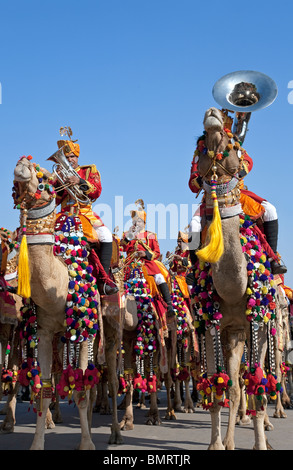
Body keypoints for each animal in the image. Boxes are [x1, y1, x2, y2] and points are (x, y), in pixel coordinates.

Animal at [12, 156, 121, 450]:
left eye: (45, 179)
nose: (22, 162)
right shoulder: (44, 331)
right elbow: (45, 389)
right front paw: (37, 444)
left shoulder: (84, 332)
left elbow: (82, 390)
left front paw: (87, 444)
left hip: (112, 327)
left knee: (111, 378)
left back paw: (115, 434)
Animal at [192, 107, 280, 452]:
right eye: (201, 144)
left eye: (233, 142)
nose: (212, 113)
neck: (233, 289)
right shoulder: (212, 324)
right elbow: (219, 387)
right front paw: (216, 445)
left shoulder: (258, 322)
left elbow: (258, 384)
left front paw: (260, 444)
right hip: (233, 334)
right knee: (234, 384)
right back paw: (229, 440)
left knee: (252, 381)